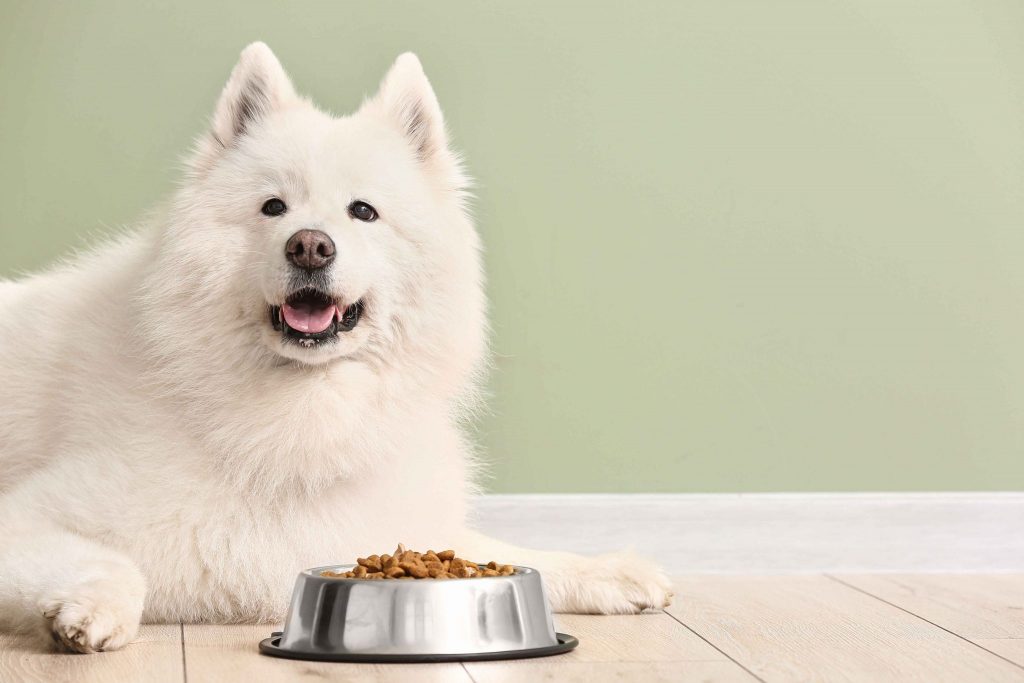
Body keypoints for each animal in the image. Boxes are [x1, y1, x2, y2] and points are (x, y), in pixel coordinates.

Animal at [0, 45, 671, 655]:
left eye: (363, 211)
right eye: (273, 207)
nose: (309, 246)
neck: (305, 408)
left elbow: (508, 554)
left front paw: (610, 571)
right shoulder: (31, 514)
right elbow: (116, 564)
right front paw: (88, 610)